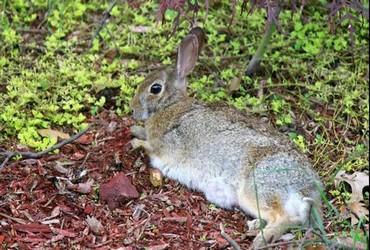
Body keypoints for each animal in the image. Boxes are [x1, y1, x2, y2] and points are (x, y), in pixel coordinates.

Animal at [129, 26, 320, 249]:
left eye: (155, 88)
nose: (132, 110)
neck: (171, 105)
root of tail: (308, 187)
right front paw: (135, 129)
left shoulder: (165, 145)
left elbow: (148, 146)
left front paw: (135, 142)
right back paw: (255, 226)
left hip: (256, 188)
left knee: (285, 218)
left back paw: (261, 238)